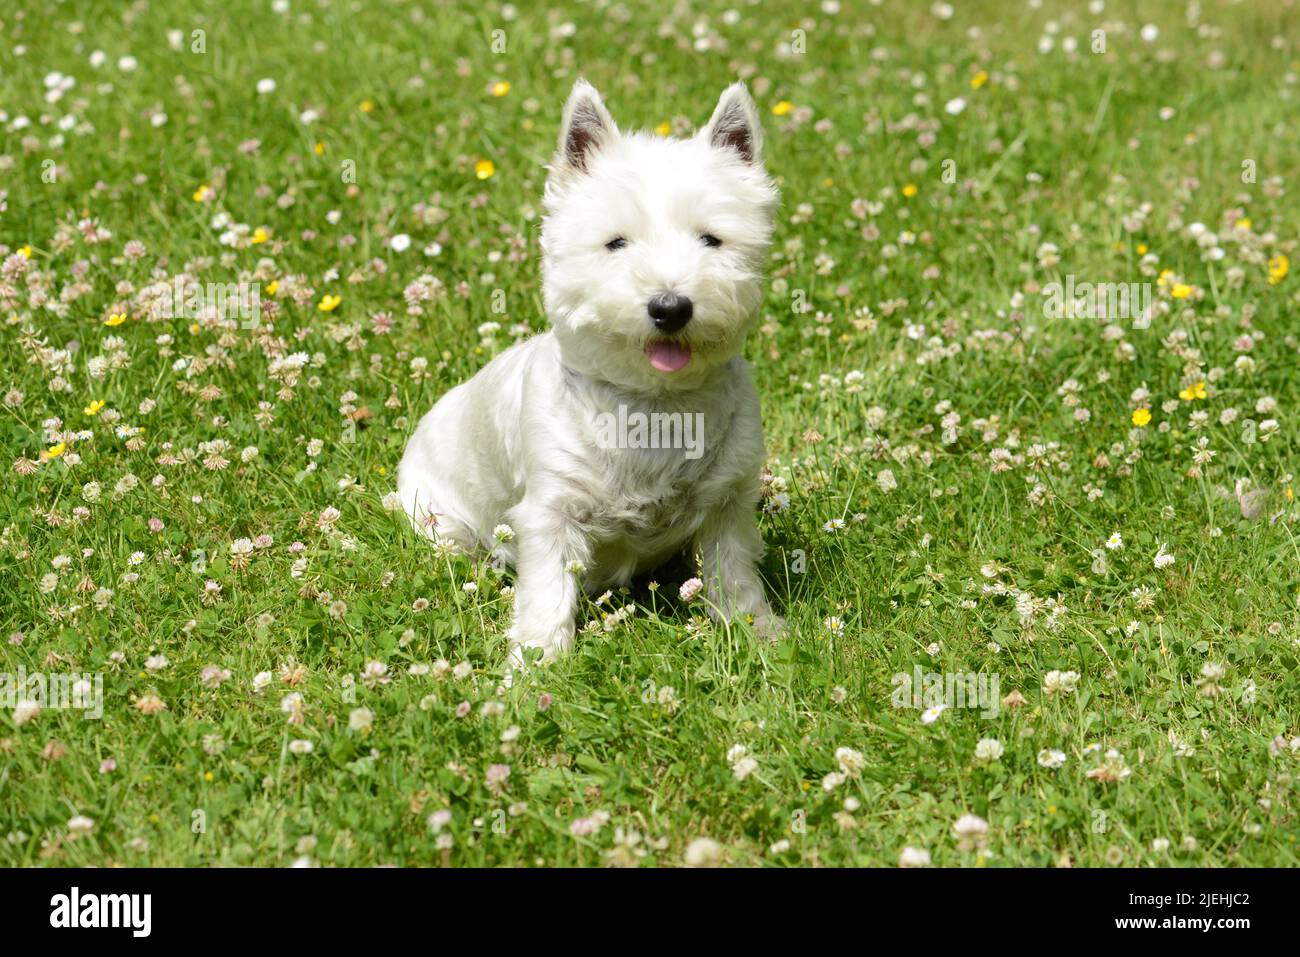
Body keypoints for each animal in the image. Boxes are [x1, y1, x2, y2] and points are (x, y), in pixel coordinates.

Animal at [397, 78, 780, 670]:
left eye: (712, 240)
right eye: (616, 242)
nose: (670, 307)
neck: (654, 407)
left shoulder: (728, 504)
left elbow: (735, 575)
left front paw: (759, 634)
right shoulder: (549, 513)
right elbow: (546, 594)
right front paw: (534, 666)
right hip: (440, 518)